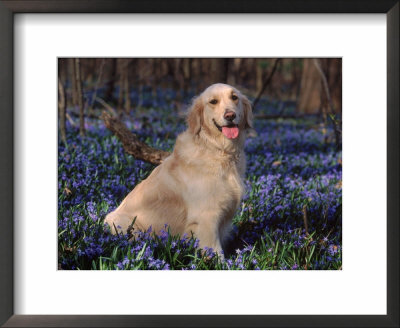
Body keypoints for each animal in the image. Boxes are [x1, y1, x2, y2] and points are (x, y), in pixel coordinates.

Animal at [104, 83, 253, 255]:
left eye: (234, 97)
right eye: (213, 101)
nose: (230, 115)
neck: (218, 149)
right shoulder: (207, 217)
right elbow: (215, 251)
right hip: (125, 224)